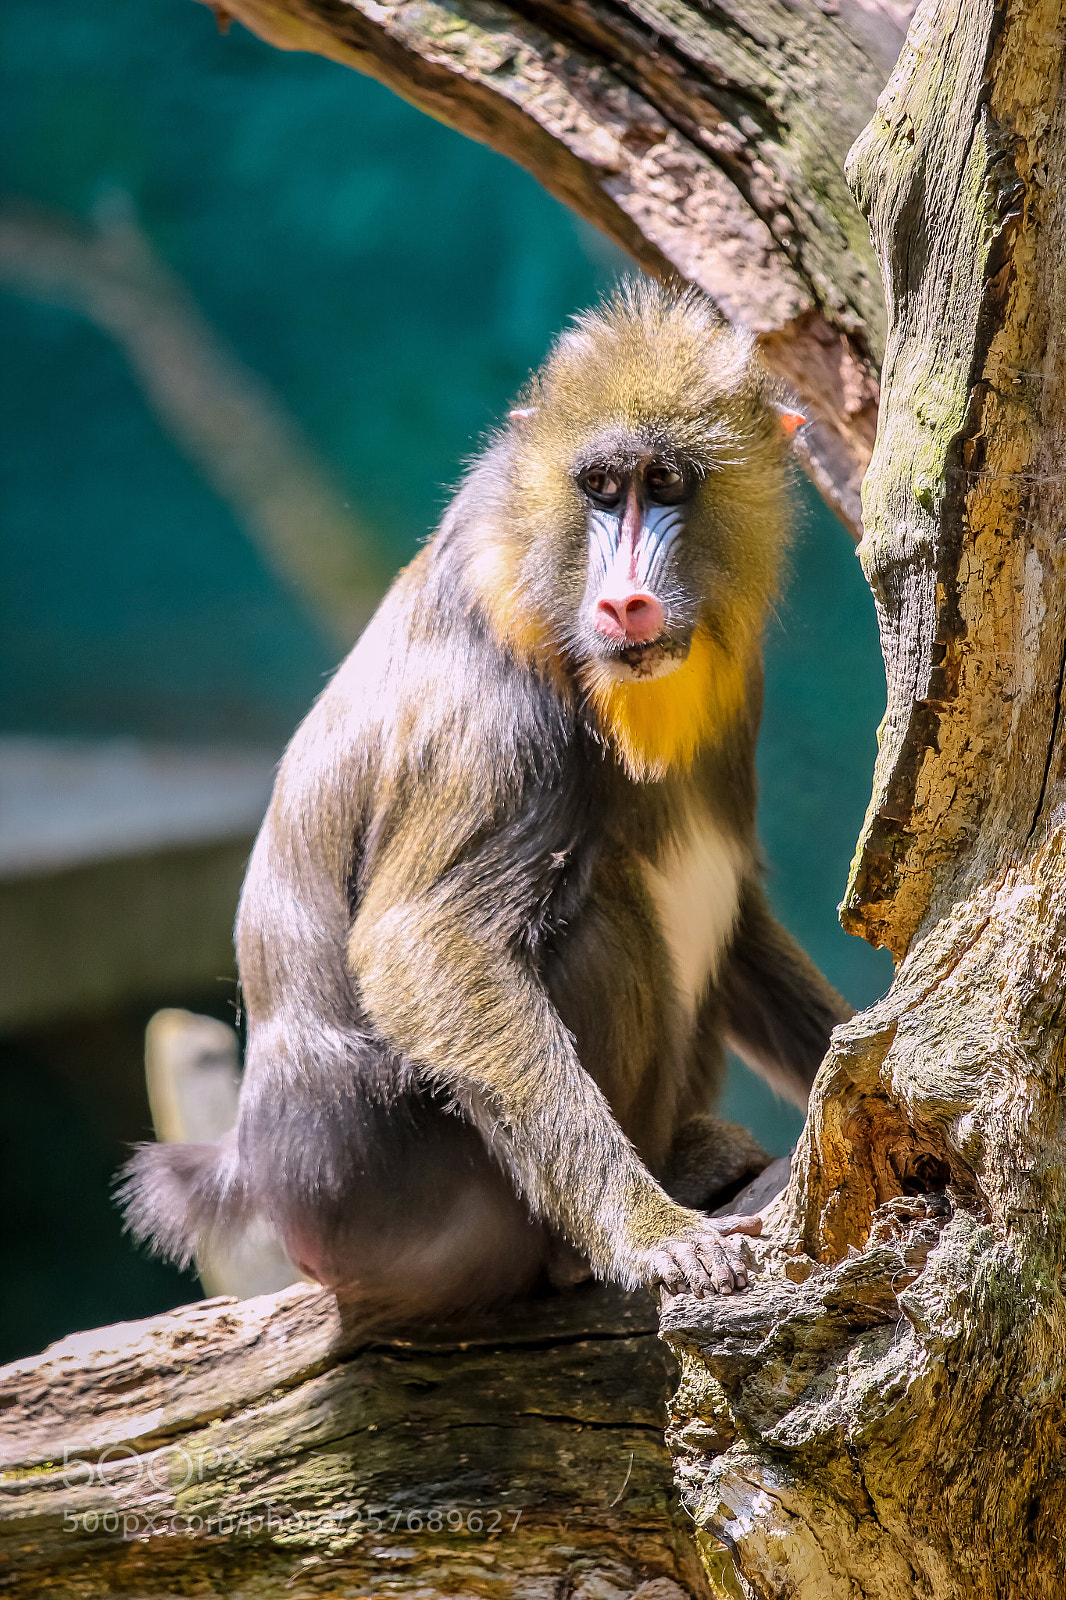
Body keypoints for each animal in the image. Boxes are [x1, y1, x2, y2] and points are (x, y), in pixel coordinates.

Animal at [120, 281, 850, 1324]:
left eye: (666, 482)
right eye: (600, 489)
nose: (624, 602)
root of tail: (270, 1183)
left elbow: (750, 924)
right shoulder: (497, 709)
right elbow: (427, 943)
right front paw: (650, 1236)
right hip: (432, 1207)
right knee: (595, 907)